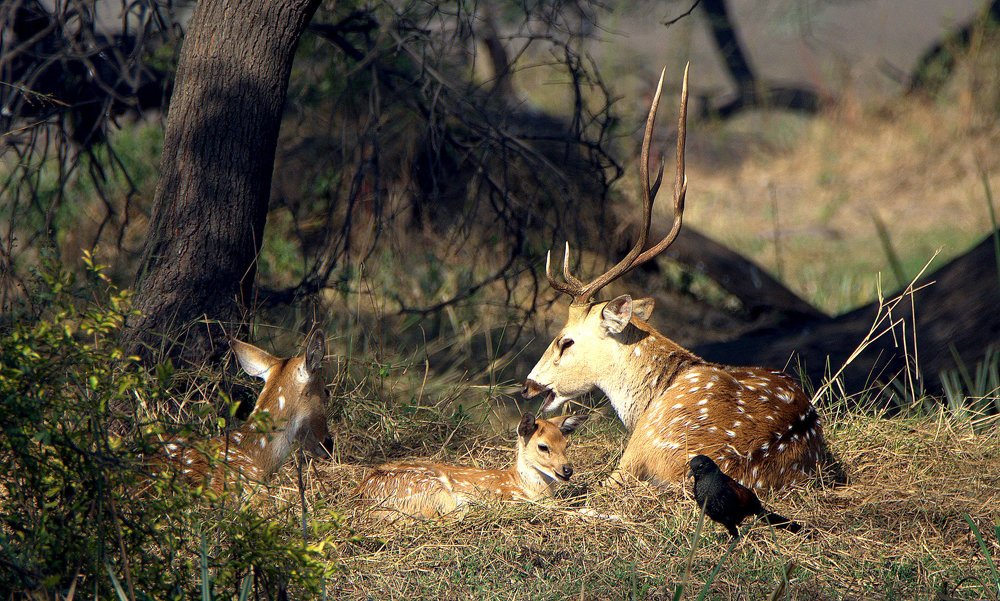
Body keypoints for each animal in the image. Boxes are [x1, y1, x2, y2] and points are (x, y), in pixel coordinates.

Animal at [354, 412, 587, 520]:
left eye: (567, 444)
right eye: (543, 446)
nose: (567, 470)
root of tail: (363, 494)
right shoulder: (509, 498)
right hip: (432, 491)